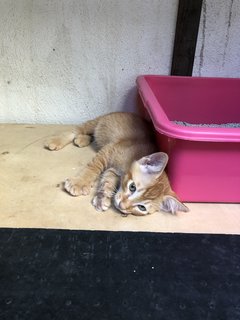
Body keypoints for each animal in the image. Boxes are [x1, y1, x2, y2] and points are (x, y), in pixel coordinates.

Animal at [44, 111, 188, 216]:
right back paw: (57, 140)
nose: (123, 207)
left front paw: (102, 198)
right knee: (76, 129)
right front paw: (80, 183)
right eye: (132, 187)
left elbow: (108, 180)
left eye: (141, 207)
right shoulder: (109, 150)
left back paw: (82, 139)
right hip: (97, 122)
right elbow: (94, 167)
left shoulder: (113, 170)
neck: (132, 158)